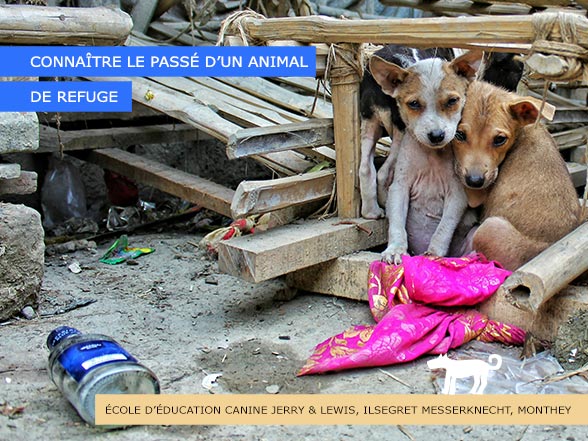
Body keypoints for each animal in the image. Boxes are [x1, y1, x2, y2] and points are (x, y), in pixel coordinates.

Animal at [374, 52, 484, 264]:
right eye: (414, 104)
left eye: (452, 101)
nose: (436, 135)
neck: (432, 156)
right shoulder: (399, 188)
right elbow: (397, 225)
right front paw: (395, 250)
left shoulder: (457, 195)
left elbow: (443, 229)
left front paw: (434, 253)